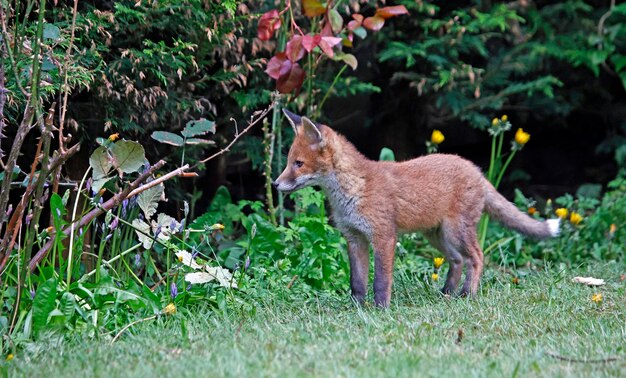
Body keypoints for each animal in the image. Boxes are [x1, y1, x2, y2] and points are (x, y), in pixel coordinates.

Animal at [272, 110, 556, 308]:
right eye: (288, 162)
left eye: (298, 163)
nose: (275, 184)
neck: (353, 190)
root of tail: (477, 171)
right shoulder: (354, 238)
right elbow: (357, 282)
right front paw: (356, 308)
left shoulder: (384, 236)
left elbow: (381, 281)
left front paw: (381, 309)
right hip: (435, 235)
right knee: (458, 260)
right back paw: (446, 294)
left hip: (456, 232)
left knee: (477, 256)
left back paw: (467, 295)